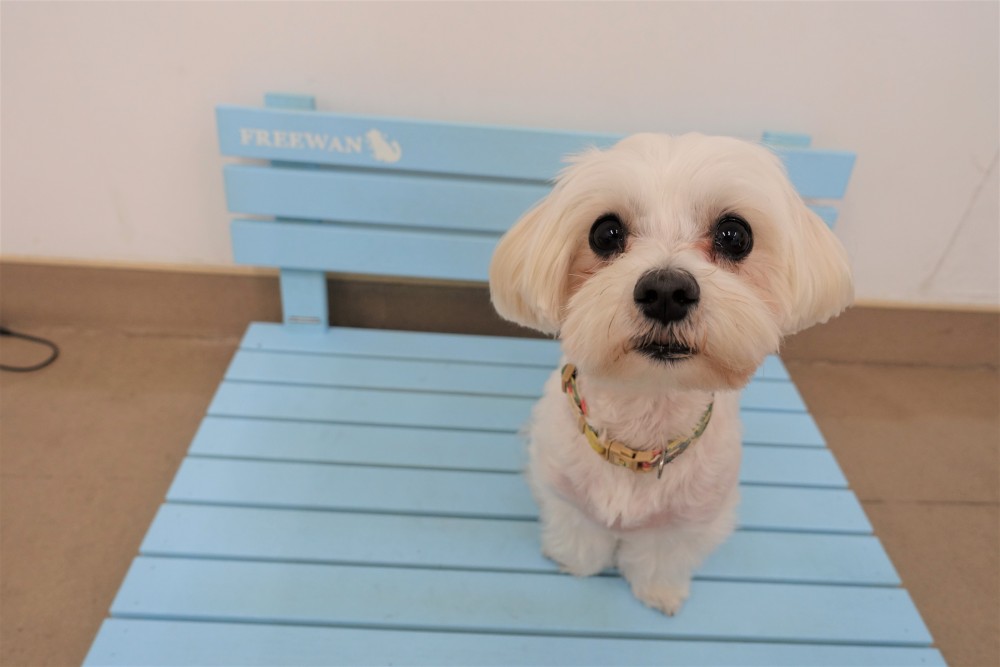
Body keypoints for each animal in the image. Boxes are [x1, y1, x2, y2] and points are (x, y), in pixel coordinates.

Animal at [489, 133, 853, 615]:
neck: (644, 424)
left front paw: (658, 591)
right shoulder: (567, 495)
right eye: (605, 233)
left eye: (734, 235)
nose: (666, 290)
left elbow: (661, 556)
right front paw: (575, 562)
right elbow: (581, 533)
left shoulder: (684, 523)